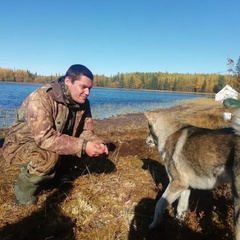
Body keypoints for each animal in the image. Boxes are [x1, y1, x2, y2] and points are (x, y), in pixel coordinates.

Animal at [144, 110, 240, 240]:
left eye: (149, 128)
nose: (145, 141)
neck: (169, 134)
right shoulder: (185, 188)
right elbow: (181, 209)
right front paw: (178, 227)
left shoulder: (177, 183)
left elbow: (158, 205)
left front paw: (154, 224)